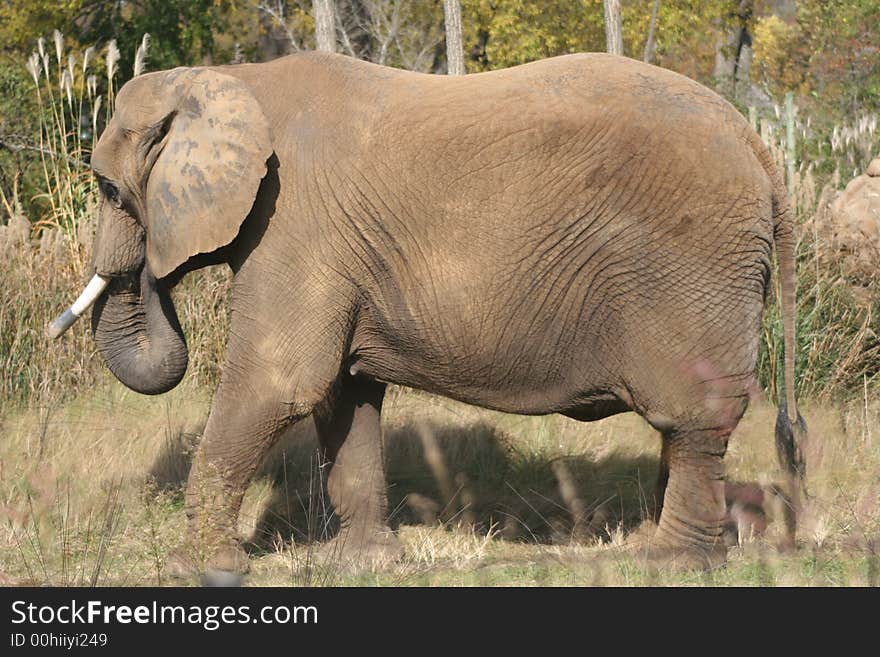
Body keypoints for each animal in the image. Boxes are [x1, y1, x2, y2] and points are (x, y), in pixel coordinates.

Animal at [46, 51, 804, 576]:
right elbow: (345, 394)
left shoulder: (294, 222)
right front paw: (363, 564)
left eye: (108, 188)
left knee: (694, 418)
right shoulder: (333, 246)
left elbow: (281, 381)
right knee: (684, 428)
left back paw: (669, 562)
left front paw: (197, 571)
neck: (234, 79)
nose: (149, 272)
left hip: (694, 264)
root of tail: (759, 147)